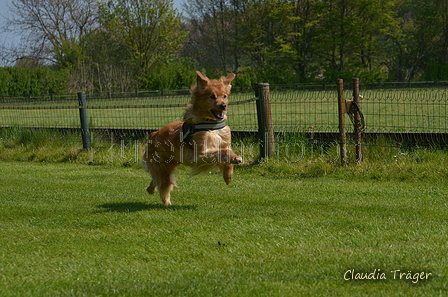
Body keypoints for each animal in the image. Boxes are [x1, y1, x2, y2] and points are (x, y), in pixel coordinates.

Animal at [143, 71, 242, 205]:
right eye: (212, 96)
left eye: (225, 96)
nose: (223, 105)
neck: (212, 124)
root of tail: (152, 135)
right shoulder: (200, 154)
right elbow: (223, 152)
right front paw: (234, 160)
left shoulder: (223, 144)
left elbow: (226, 154)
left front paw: (228, 175)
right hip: (163, 167)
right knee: (162, 185)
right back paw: (167, 203)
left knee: (156, 180)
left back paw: (150, 189)